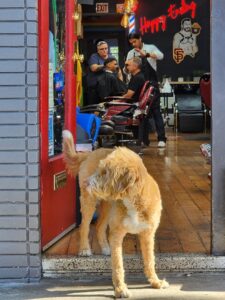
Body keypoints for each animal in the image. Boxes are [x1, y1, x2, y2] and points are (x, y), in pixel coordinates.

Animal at [62, 131, 168, 298]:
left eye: (105, 172)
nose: (86, 183)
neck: (133, 200)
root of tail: (90, 153)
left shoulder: (148, 234)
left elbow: (150, 260)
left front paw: (155, 282)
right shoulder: (117, 234)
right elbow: (118, 264)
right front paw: (120, 289)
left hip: (107, 206)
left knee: (99, 226)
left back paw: (106, 247)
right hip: (89, 202)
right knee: (84, 226)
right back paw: (85, 249)